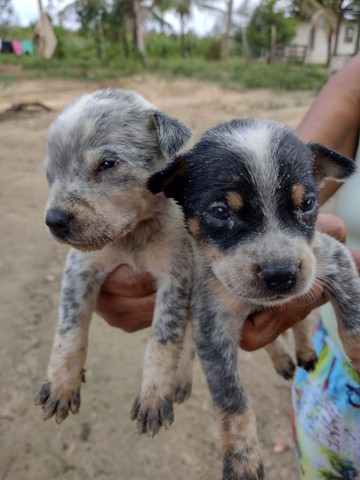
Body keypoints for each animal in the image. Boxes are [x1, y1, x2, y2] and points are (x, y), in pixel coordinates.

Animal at [34, 89, 195, 432]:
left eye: (107, 164)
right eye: (50, 174)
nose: (54, 221)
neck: (130, 237)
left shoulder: (176, 276)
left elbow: (164, 339)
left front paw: (153, 396)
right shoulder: (79, 270)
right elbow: (69, 330)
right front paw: (61, 385)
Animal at [148, 117, 360, 480]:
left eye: (307, 203)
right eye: (220, 212)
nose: (281, 274)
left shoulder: (332, 257)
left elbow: (354, 326)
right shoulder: (213, 325)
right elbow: (232, 400)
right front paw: (242, 459)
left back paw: (302, 352)